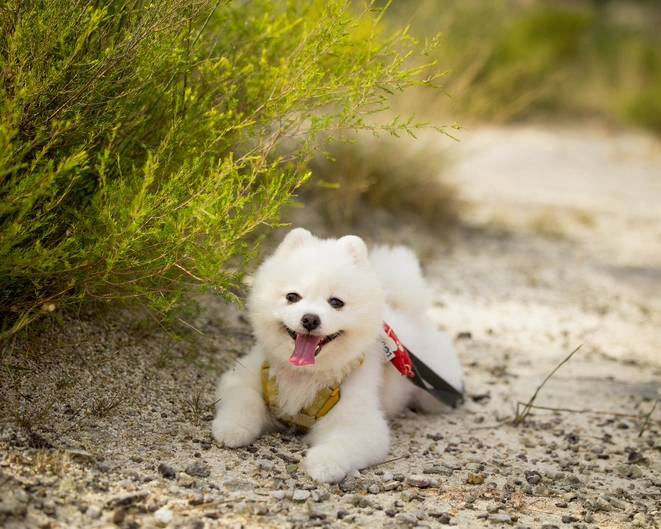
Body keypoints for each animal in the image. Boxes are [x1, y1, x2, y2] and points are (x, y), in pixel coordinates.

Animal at [213, 228, 464, 482]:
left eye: (336, 302)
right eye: (292, 297)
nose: (310, 319)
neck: (304, 375)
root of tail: (404, 309)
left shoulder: (358, 420)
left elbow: (342, 444)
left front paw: (324, 464)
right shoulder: (243, 377)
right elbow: (245, 399)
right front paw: (232, 428)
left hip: (434, 392)